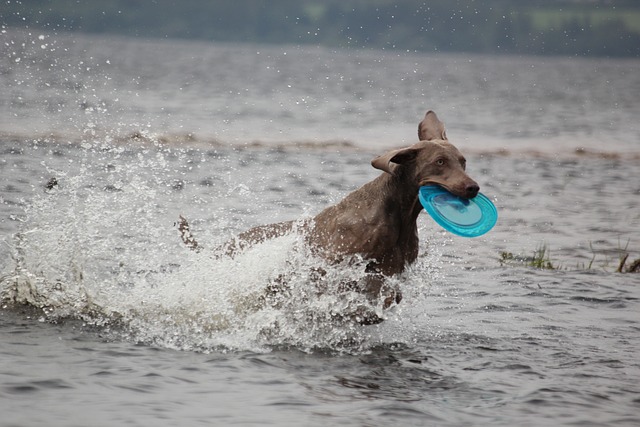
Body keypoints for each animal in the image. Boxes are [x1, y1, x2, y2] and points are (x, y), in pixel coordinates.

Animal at [178, 112, 478, 322]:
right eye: (440, 162)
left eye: (463, 161)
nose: (473, 187)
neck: (400, 212)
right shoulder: (330, 263)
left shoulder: (390, 271)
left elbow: (390, 295)